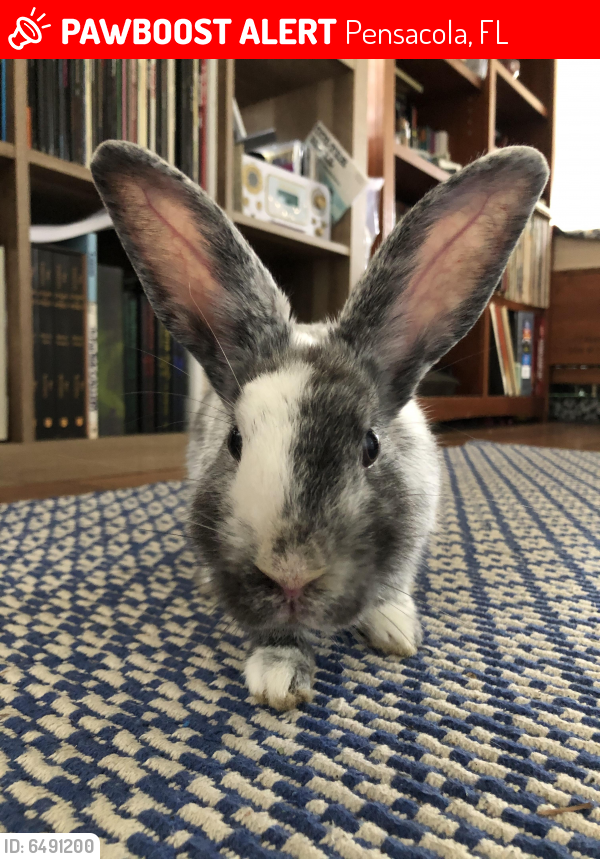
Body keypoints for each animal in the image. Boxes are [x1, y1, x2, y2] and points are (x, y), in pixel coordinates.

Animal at [91, 141, 548, 710]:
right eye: (234, 442)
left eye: (371, 445)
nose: (291, 574)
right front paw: (277, 675)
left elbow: (393, 579)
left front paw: (395, 628)